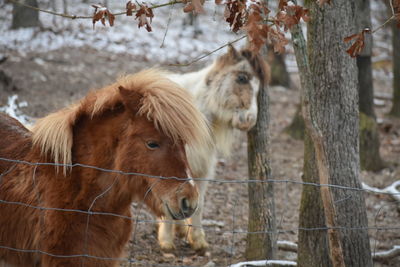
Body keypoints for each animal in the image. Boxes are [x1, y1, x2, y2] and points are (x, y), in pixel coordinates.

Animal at [159, 45, 268, 253]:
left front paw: (198, 241)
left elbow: (198, 203)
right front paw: (166, 242)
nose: (249, 121)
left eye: (259, 86)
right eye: (242, 78)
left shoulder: (201, 170)